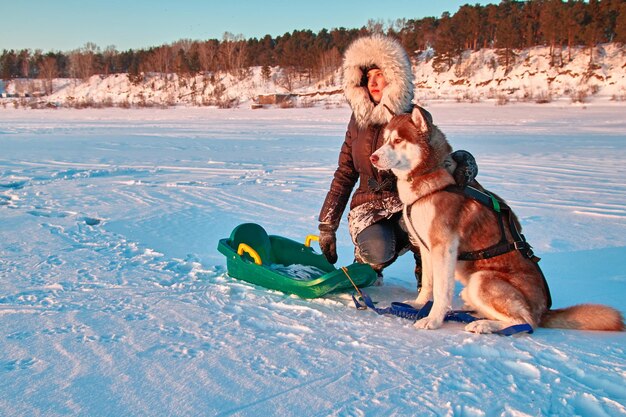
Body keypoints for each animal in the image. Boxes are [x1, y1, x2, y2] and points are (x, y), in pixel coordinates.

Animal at [368, 108, 620, 334]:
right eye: (385, 139)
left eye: (398, 140)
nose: (373, 157)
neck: (429, 178)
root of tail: (543, 310)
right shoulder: (426, 247)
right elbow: (429, 283)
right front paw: (419, 305)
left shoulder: (444, 247)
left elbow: (441, 289)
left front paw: (433, 319)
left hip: (482, 280)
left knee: (526, 322)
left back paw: (485, 325)